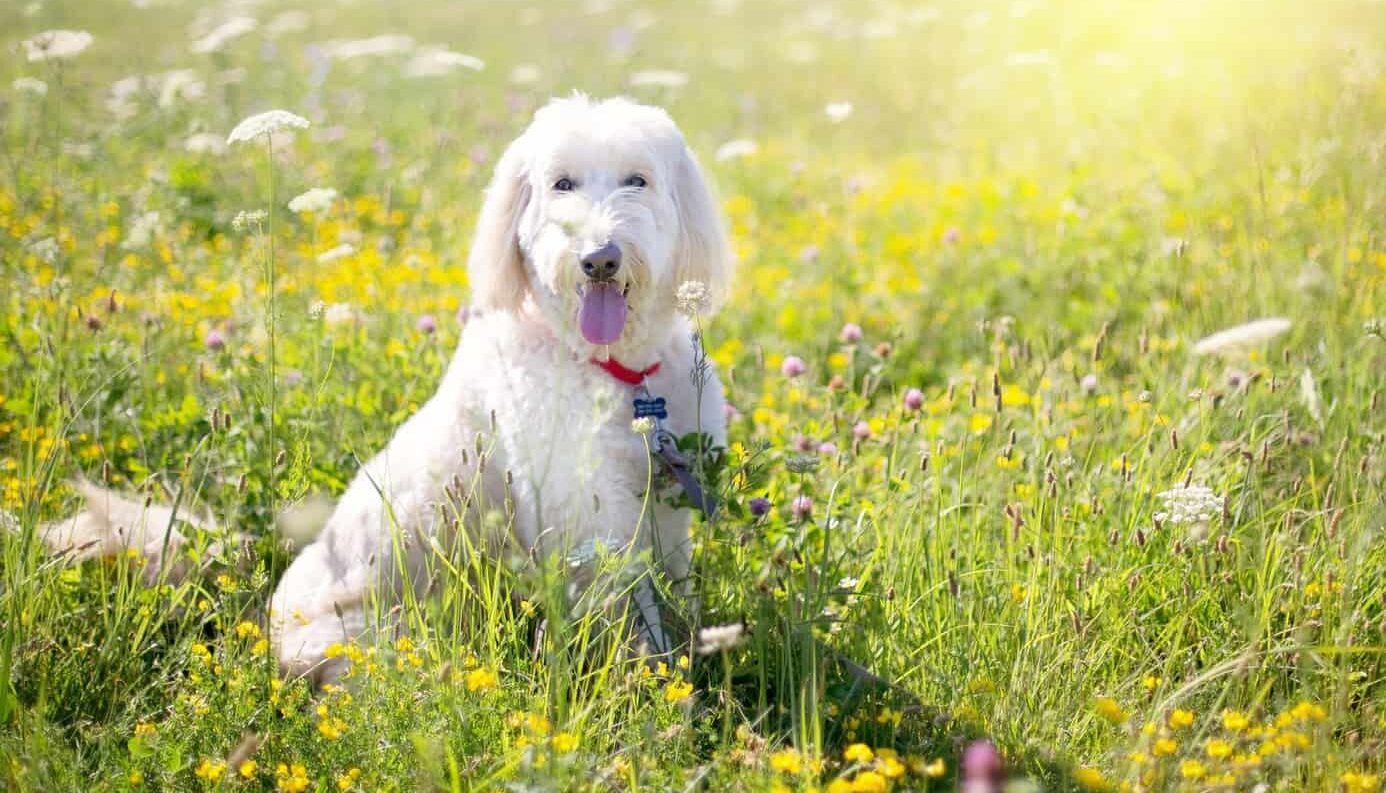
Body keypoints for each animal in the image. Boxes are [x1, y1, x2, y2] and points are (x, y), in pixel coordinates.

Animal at [263, 97, 731, 682]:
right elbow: (630, 615)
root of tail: (274, 637)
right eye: (562, 184)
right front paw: (652, 681)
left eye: (636, 180)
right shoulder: (595, 519)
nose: (599, 258)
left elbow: (671, 587)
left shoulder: (664, 506)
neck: (612, 370)